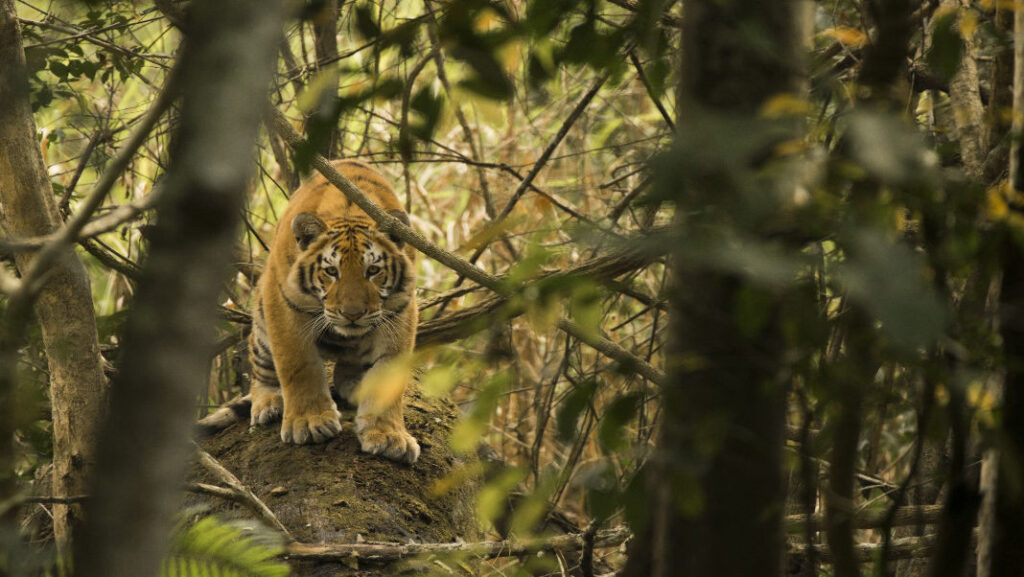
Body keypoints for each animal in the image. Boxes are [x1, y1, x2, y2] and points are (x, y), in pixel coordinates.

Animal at [201, 159, 420, 464]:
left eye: (373, 270)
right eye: (331, 271)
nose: (352, 314)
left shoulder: (400, 311)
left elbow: (388, 376)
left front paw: (388, 436)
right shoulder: (283, 304)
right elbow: (298, 365)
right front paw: (308, 423)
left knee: (345, 371)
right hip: (261, 325)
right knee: (261, 373)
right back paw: (269, 403)